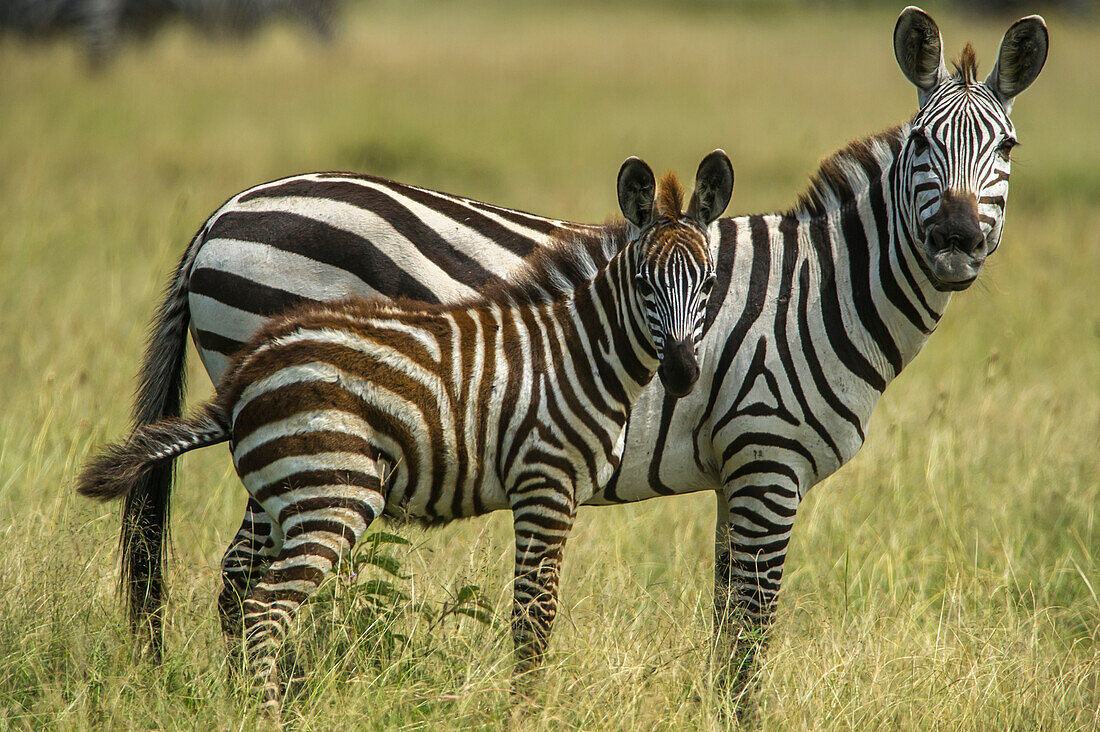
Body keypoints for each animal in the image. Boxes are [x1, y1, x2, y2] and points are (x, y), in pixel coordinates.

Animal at [79, 155, 730, 713]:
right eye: (644, 283)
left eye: (708, 282)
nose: (683, 373)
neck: (578, 352)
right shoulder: (546, 482)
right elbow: (534, 619)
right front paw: (524, 712)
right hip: (329, 488)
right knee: (261, 603)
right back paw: (266, 713)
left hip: (291, 488)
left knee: (245, 589)